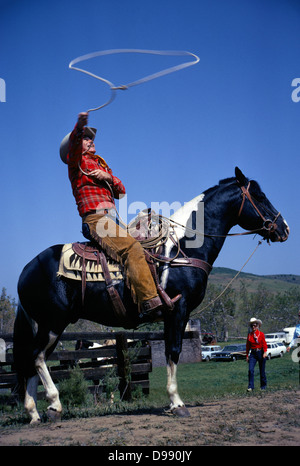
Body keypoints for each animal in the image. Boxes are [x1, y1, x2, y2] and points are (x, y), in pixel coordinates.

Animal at [13, 168, 288, 422]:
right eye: (260, 196)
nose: (283, 228)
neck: (181, 249)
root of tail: (26, 269)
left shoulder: (171, 315)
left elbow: (169, 353)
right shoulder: (179, 310)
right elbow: (174, 351)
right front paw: (177, 403)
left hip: (43, 324)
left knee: (30, 361)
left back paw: (34, 413)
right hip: (52, 323)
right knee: (37, 357)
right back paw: (54, 405)